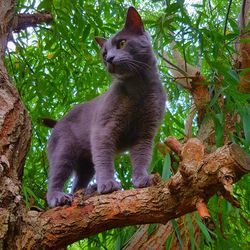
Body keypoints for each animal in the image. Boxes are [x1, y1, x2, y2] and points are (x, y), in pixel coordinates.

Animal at [43, 7, 166, 207]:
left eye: (122, 43)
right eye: (103, 53)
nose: (109, 58)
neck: (138, 88)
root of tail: (58, 122)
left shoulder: (146, 132)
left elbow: (141, 158)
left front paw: (142, 179)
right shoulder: (104, 128)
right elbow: (104, 160)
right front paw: (108, 184)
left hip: (86, 164)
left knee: (77, 185)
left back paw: (88, 190)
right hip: (64, 150)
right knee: (56, 177)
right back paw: (58, 197)